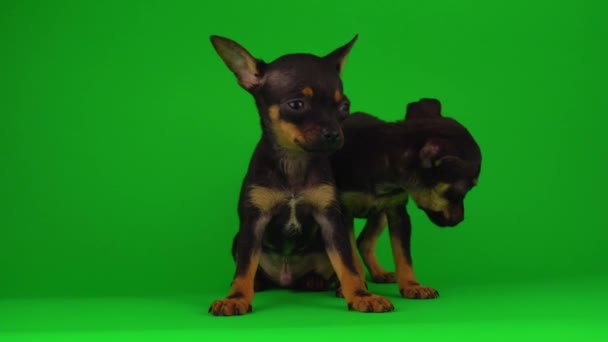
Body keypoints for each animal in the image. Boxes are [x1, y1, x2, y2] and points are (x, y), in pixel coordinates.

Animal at [207, 34, 392, 316]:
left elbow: (347, 264)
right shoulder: (253, 223)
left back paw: (314, 281)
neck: (294, 161)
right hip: (238, 240)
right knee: (252, 269)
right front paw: (236, 298)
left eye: (344, 106)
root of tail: (286, 279)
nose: (334, 134)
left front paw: (361, 294)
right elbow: (244, 268)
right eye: (296, 105)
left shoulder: (330, 222)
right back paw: (258, 283)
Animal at [330, 98, 482, 300]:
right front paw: (358, 287)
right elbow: (350, 256)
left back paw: (379, 273)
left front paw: (412, 285)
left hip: (381, 215)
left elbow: (403, 254)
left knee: (363, 241)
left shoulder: (398, 213)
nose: (461, 219)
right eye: (458, 193)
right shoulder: (343, 213)